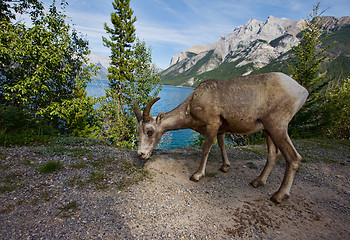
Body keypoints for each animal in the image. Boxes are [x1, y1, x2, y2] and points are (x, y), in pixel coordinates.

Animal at [133, 72, 308, 203]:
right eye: (138, 130)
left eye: (149, 131)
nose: (141, 154)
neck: (191, 106)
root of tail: (302, 91)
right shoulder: (221, 130)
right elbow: (222, 146)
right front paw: (225, 167)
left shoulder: (212, 124)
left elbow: (206, 149)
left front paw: (197, 175)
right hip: (268, 129)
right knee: (273, 154)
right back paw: (257, 182)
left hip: (277, 126)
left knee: (293, 157)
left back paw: (278, 196)